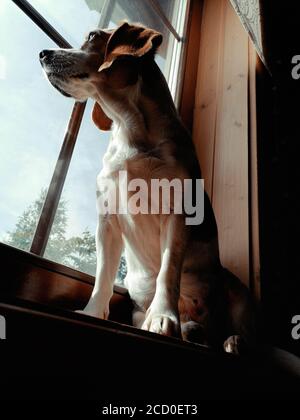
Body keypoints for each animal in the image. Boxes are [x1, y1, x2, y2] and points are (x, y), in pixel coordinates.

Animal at [39, 21, 255, 352]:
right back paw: (194, 331)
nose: (43, 53)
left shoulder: (177, 214)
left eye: (93, 36)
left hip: (241, 297)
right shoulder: (108, 221)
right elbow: (102, 276)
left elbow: (168, 273)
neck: (129, 126)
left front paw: (163, 317)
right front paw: (92, 312)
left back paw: (231, 340)